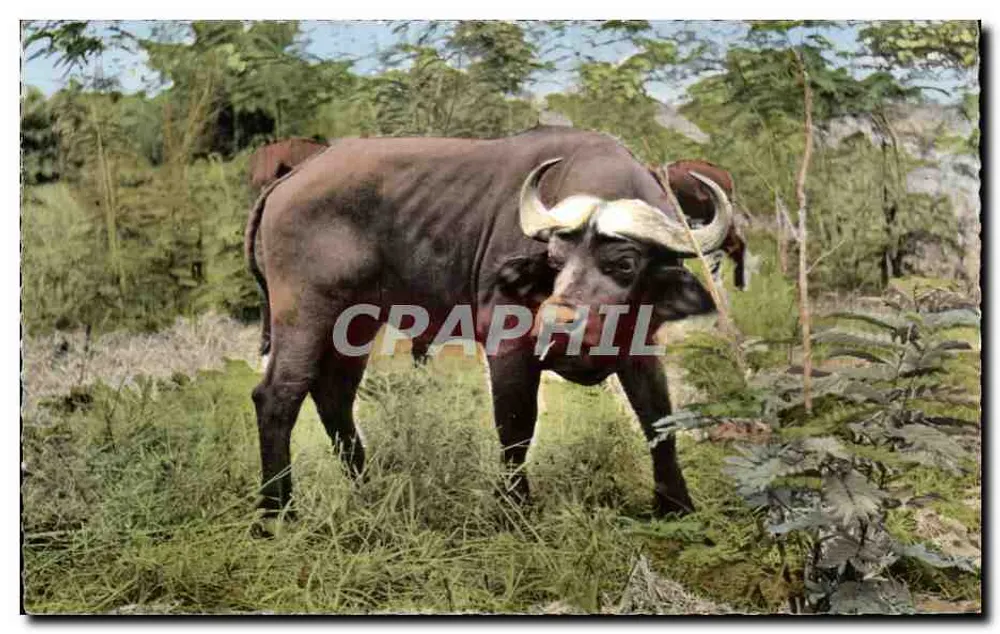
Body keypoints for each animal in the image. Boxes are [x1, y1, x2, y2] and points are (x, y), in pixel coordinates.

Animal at [245, 126, 735, 522]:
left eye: (624, 262)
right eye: (555, 261)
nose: (555, 326)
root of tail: (291, 178)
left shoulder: (641, 346)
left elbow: (659, 419)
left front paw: (675, 505)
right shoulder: (509, 348)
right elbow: (516, 427)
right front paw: (515, 507)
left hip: (356, 325)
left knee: (334, 395)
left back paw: (366, 489)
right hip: (304, 315)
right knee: (278, 396)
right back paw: (277, 511)